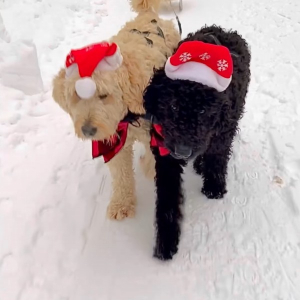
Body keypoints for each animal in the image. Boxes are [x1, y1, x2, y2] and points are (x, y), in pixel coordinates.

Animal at [51, 0, 180, 220]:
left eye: (104, 95)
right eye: (77, 95)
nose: (88, 130)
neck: (127, 116)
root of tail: (148, 15)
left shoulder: (152, 127)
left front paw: (150, 169)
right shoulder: (117, 143)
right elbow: (121, 174)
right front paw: (122, 204)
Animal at [143, 25, 251, 260]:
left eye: (203, 111)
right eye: (172, 105)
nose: (183, 151)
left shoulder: (221, 134)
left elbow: (217, 159)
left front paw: (214, 187)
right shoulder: (165, 155)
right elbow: (167, 200)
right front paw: (166, 242)